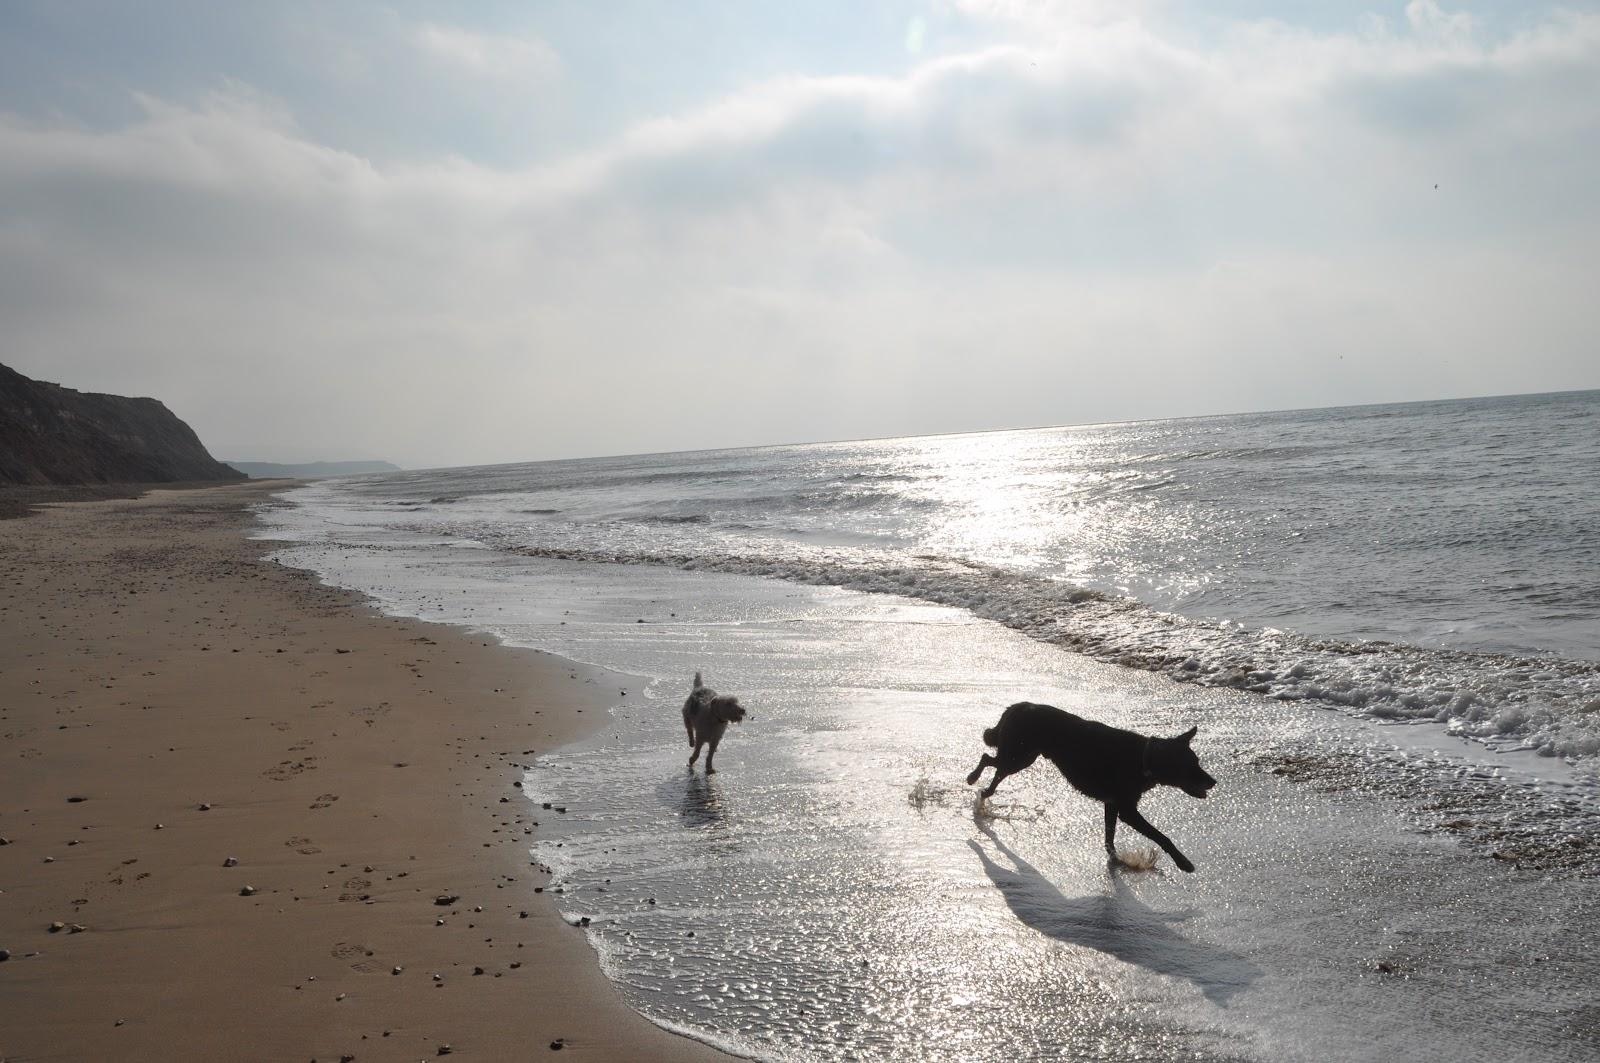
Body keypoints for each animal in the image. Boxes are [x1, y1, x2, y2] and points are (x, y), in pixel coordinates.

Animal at [966, 701, 1216, 870]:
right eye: (1191, 766)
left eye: (1197, 762)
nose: (1213, 782)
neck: (1143, 759)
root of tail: (1017, 706)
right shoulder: (1127, 810)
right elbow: (1162, 836)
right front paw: (1183, 862)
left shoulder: (1112, 804)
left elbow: (1109, 835)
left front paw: (1115, 858)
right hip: (1020, 755)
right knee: (989, 759)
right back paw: (974, 780)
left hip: (1022, 755)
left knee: (995, 765)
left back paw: (984, 791)